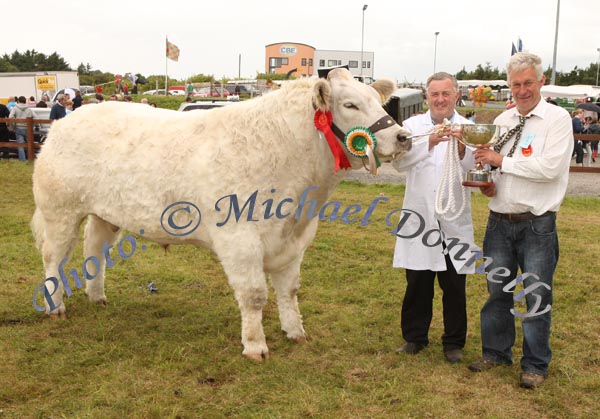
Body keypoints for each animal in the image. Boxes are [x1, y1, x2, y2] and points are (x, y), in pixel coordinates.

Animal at [30, 69, 410, 360]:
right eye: (350, 104)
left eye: (378, 101)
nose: (403, 136)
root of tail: (66, 122)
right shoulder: (239, 239)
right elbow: (255, 295)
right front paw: (255, 346)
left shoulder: (294, 240)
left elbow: (289, 290)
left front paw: (296, 332)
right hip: (59, 209)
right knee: (53, 258)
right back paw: (55, 306)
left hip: (105, 213)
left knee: (94, 250)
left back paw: (97, 296)